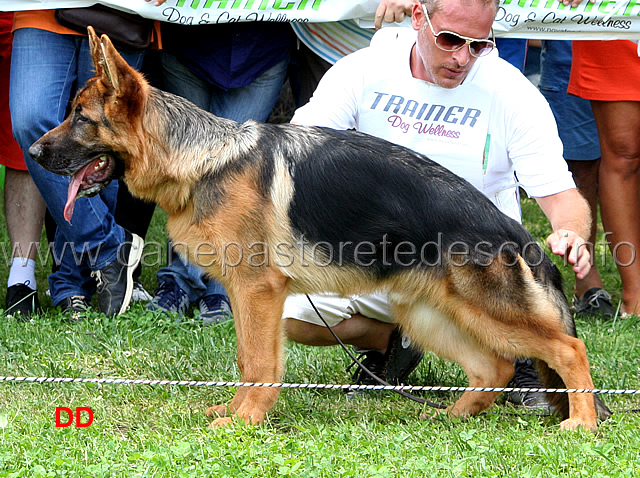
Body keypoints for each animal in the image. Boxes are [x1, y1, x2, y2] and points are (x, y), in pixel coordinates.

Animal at [31, 28, 608, 432]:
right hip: (432, 315)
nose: (33, 151)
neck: (204, 158)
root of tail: (512, 227)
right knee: (494, 369)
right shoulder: (250, 297)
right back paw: (452, 416)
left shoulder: (258, 292)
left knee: (567, 350)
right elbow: (247, 358)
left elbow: (259, 360)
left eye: (80, 117)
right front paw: (236, 411)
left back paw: (580, 423)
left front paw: (246, 421)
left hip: (486, 311)